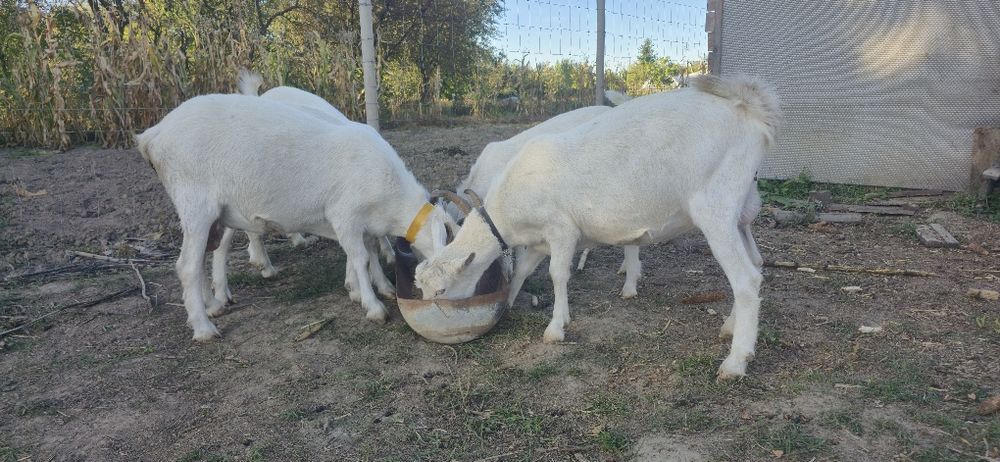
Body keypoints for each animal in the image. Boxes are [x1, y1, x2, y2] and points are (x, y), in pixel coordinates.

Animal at [136, 94, 456, 341]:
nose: (445, 298)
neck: (391, 197)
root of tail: (152, 135)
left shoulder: (362, 224)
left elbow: (368, 255)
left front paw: (374, 288)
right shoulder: (344, 215)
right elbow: (361, 258)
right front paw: (372, 305)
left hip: (217, 213)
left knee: (205, 256)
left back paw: (215, 304)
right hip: (195, 203)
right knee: (187, 266)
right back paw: (204, 327)